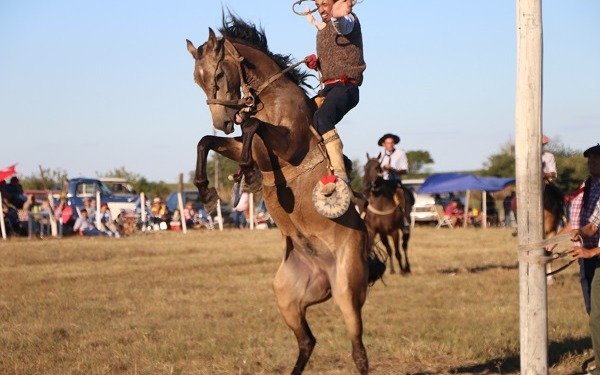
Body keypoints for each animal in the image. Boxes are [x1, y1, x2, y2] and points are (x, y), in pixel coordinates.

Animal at [185, 15, 386, 375]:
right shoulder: (243, 143)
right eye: (198, 80)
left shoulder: (289, 145)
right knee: (307, 341)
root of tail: (324, 271)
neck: (271, 96)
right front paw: (208, 192)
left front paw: (247, 174)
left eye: (219, 74)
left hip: (348, 292)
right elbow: (206, 141)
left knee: (358, 351)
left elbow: (252, 129)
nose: (223, 120)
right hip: (287, 296)